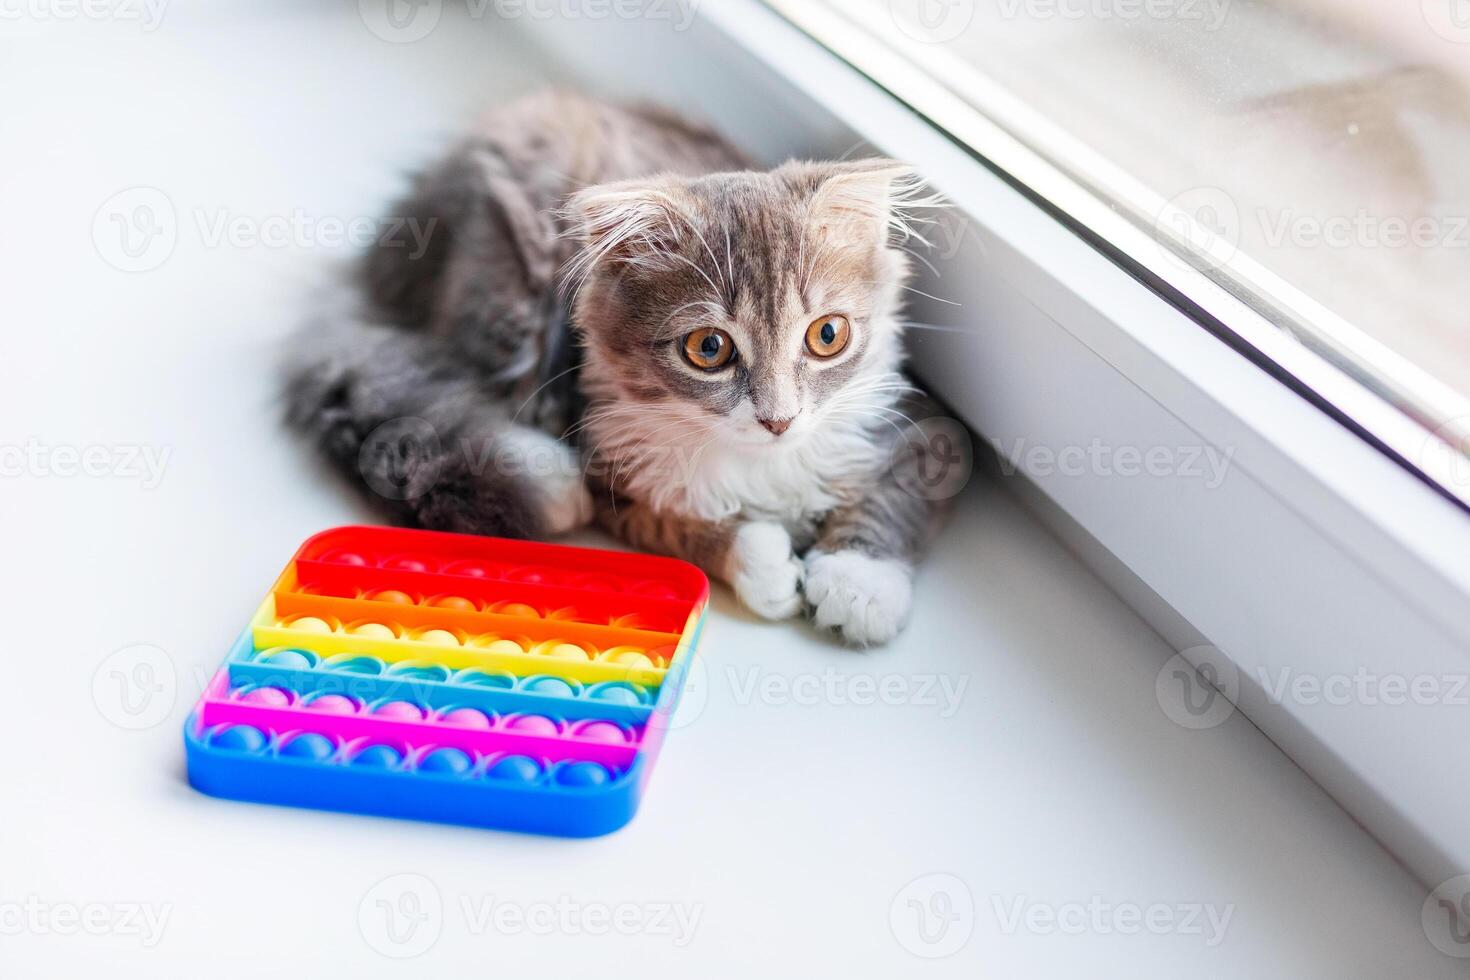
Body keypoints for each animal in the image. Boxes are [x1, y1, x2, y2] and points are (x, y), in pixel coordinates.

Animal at [285, 89, 946, 643]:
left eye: (827, 335)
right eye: (710, 349)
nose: (778, 421)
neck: (763, 463)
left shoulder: (925, 423)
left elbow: (893, 497)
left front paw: (858, 585)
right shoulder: (613, 472)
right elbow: (678, 530)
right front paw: (764, 564)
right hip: (509, 291)